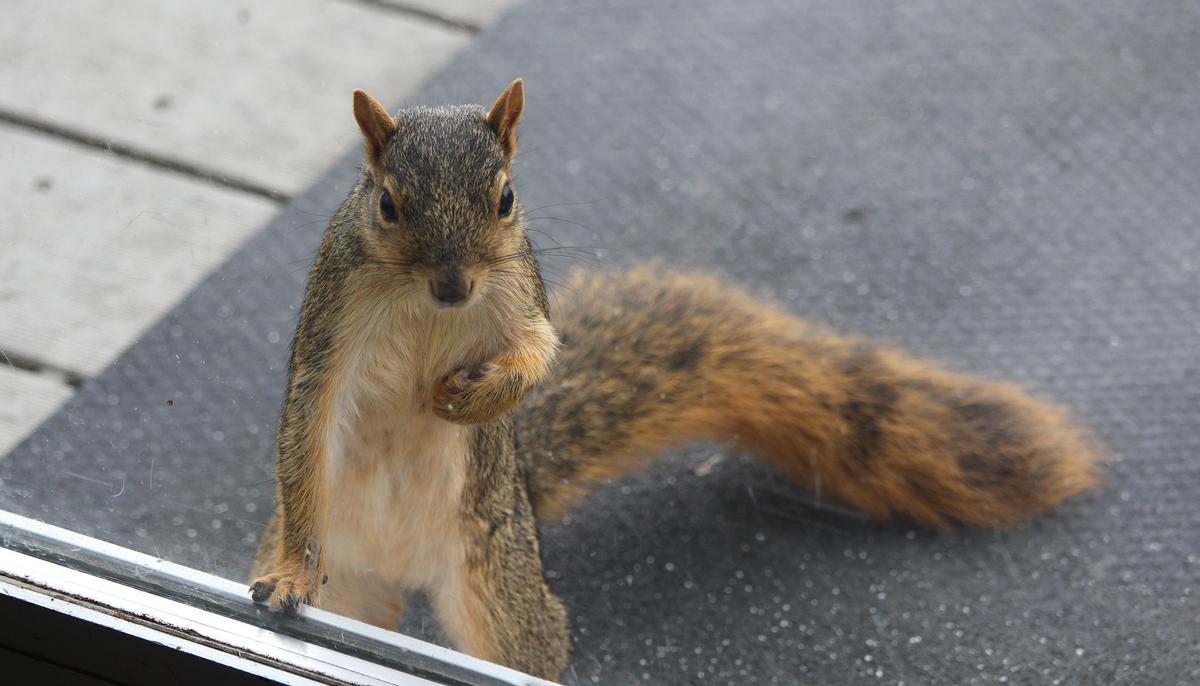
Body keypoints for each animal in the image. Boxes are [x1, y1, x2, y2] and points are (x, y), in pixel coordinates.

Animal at [248, 79, 1102, 680]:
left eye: (507, 198)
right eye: (388, 205)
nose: (455, 287)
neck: (425, 306)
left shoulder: (520, 296)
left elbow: (537, 356)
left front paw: (473, 398)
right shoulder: (333, 318)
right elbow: (307, 413)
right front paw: (291, 571)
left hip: (500, 590)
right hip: (351, 576)